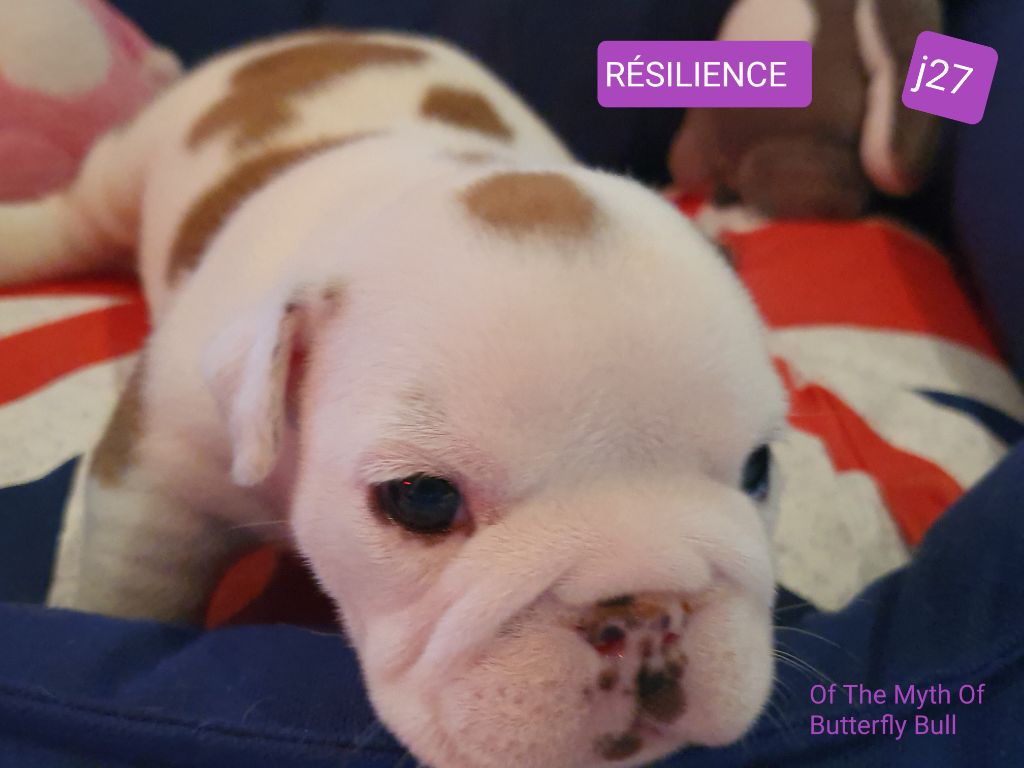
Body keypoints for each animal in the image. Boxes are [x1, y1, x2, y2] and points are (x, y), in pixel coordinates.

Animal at [0, 30, 786, 768]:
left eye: (758, 471)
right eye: (423, 499)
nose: (651, 609)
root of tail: (329, 37)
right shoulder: (159, 466)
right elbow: (133, 583)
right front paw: (102, 628)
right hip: (132, 158)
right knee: (79, 213)